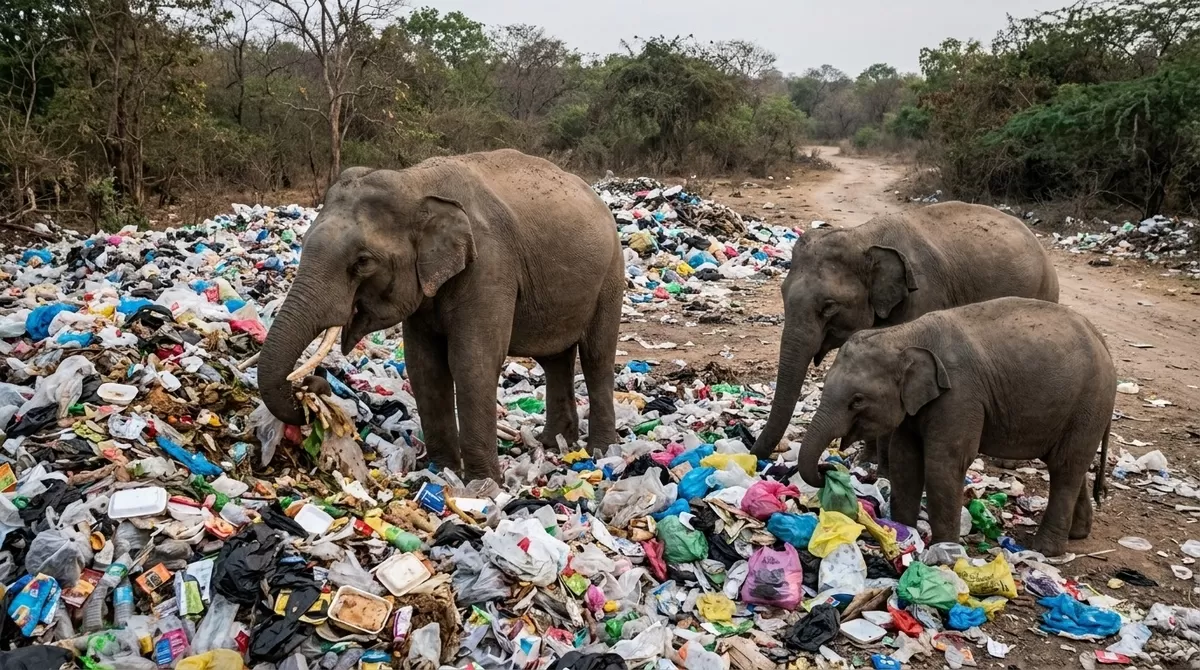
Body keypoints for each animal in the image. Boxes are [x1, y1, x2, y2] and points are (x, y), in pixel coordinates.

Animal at [257, 149, 625, 482]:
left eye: (362, 262)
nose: (313, 384)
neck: (415, 182)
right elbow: (424, 367)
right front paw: (442, 471)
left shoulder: (490, 266)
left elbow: (473, 362)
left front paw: (481, 485)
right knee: (555, 361)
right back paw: (553, 444)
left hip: (611, 274)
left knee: (596, 356)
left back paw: (600, 451)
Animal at [795, 297, 1114, 556]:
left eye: (857, 400)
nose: (828, 468)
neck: (905, 334)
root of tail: (1103, 342)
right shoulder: (917, 405)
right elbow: (905, 458)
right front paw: (902, 532)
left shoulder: (959, 396)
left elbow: (944, 464)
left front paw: (944, 551)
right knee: (1068, 466)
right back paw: (1078, 533)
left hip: (1090, 403)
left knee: (1065, 467)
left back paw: (1046, 550)